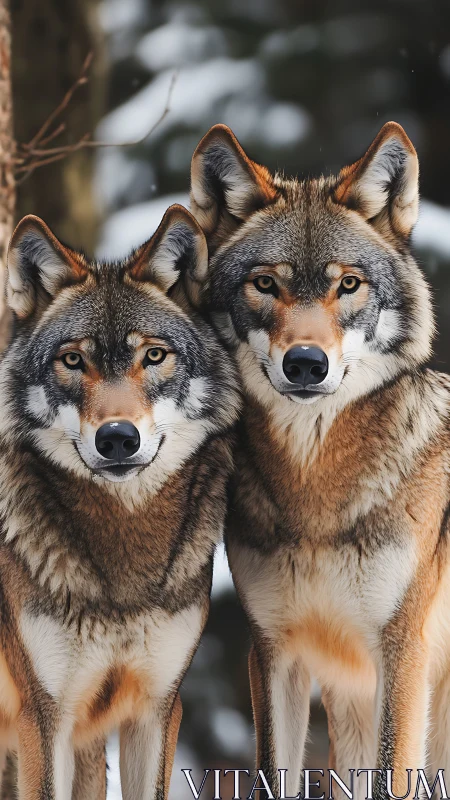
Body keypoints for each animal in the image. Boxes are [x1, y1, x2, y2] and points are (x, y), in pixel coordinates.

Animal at [190, 122, 450, 799]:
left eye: (348, 284)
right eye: (265, 283)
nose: (306, 363)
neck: (316, 498)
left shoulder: (401, 655)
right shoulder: (273, 651)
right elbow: (268, 774)